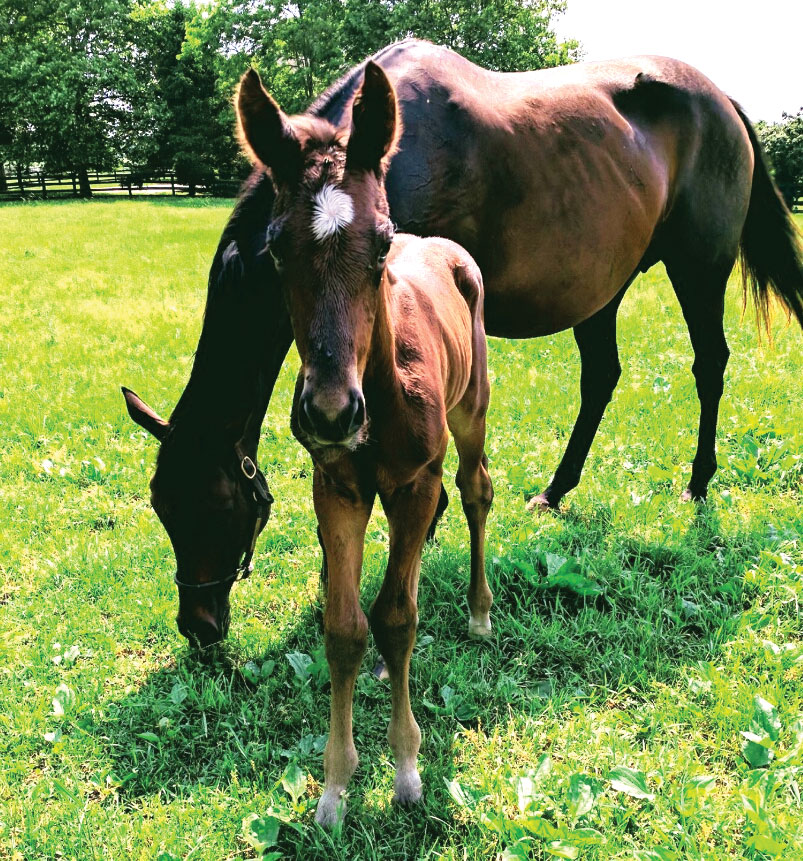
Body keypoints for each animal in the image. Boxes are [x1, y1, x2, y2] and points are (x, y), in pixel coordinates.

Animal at [236, 62, 494, 828]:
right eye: (274, 247)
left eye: (380, 244)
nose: (328, 412)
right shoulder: (339, 489)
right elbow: (347, 627)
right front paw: (335, 785)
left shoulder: (414, 481)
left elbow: (398, 616)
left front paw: (407, 769)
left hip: (471, 413)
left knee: (474, 491)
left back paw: (479, 610)